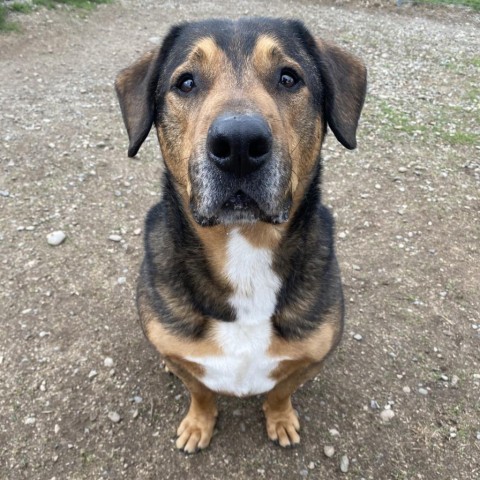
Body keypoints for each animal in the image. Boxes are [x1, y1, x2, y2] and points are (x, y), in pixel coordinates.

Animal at [115, 16, 368, 454]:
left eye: (289, 78)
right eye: (185, 82)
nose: (238, 144)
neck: (244, 245)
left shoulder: (314, 354)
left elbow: (281, 389)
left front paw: (280, 419)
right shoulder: (182, 354)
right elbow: (200, 390)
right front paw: (198, 424)